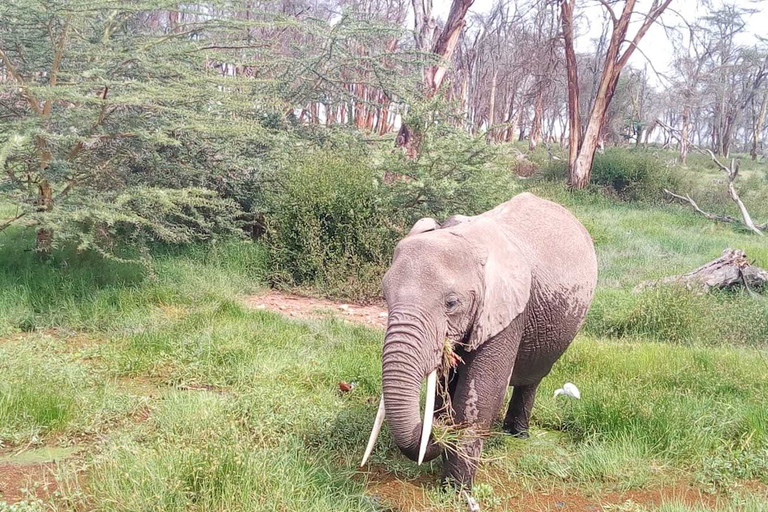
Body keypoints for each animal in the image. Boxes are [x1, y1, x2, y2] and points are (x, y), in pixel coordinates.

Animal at [362, 192, 600, 488]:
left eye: (451, 303)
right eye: (385, 296)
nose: (437, 429)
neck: (465, 238)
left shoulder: (506, 311)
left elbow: (481, 395)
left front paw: (454, 489)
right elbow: (445, 386)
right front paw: (443, 425)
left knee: (533, 379)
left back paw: (517, 435)